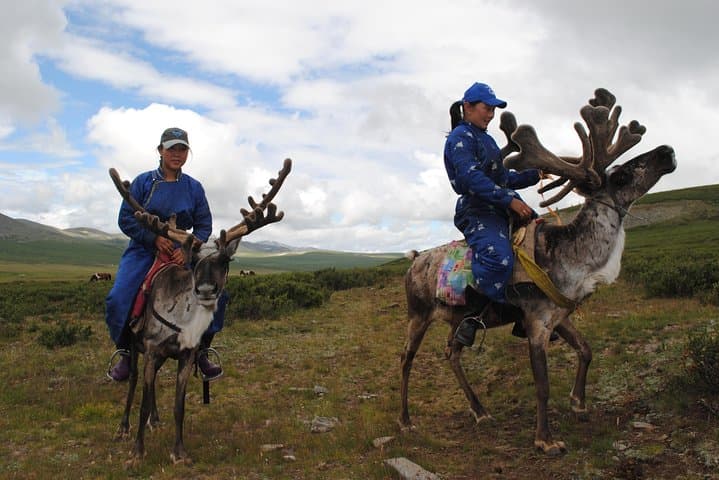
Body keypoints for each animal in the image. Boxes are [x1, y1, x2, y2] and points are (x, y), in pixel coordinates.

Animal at [108, 158, 291, 466]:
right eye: (193, 261)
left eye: (226, 260)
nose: (205, 289)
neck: (184, 320)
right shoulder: (152, 349)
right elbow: (142, 401)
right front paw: (138, 451)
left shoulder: (186, 354)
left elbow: (179, 406)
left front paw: (179, 452)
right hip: (134, 346)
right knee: (133, 382)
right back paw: (123, 427)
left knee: (152, 386)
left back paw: (155, 421)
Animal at [399, 89, 676, 455]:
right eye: (619, 175)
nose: (667, 151)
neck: (575, 259)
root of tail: (414, 259)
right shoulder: (536, 322)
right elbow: (542, 385)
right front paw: (545, 439)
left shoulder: (559, 315)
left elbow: (586, 350)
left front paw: (578, 403)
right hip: (418, 315)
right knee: (406, 360)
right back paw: (405, 420)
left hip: (458, 319)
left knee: (452, 352)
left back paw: (480, 410)